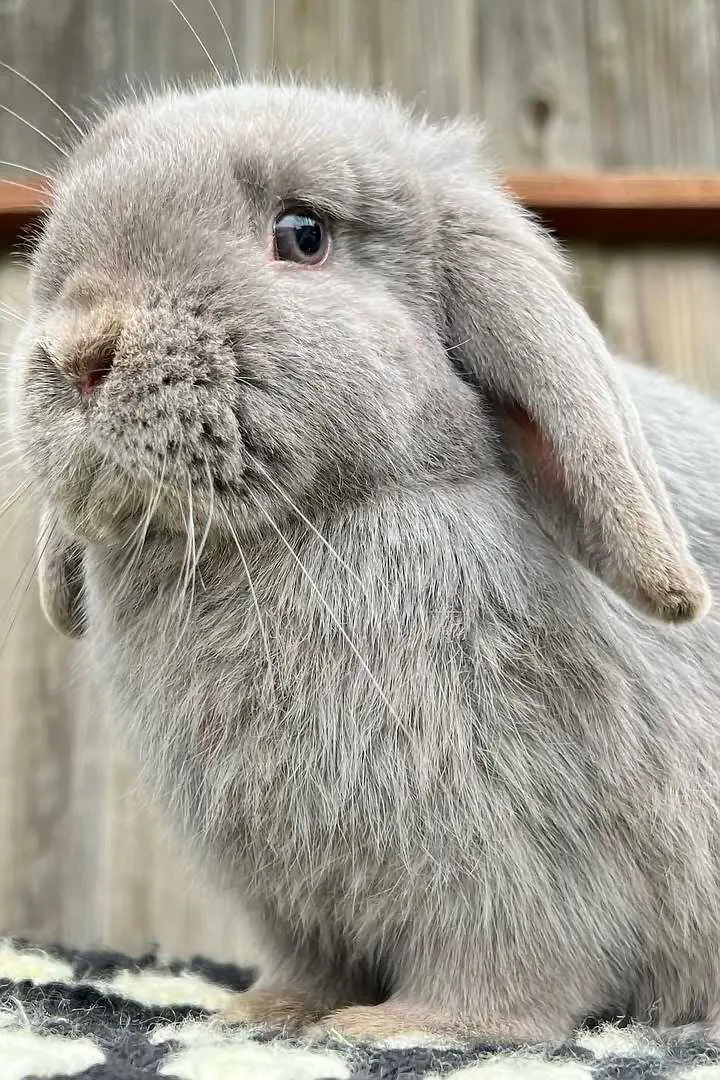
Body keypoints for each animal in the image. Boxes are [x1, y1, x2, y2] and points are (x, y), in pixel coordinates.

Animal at [8, 79, 720, 1041]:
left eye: (303, 234)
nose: (81, 350)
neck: (291, 537)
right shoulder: (294, 901)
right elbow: (309, 967)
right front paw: (258, 1016)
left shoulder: (519, 865)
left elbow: (507, 970)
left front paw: (393, 1027)